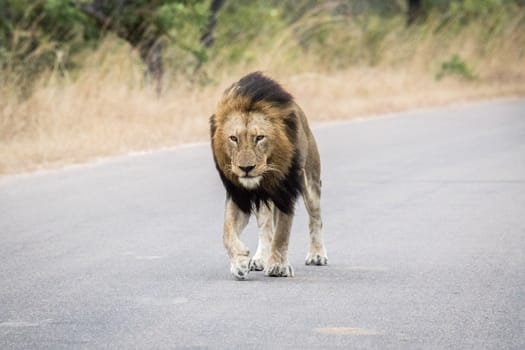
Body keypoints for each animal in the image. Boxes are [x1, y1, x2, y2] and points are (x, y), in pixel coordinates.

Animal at [210, 72, 328, 280]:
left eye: (259, 138)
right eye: (233, 138)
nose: (246, 168)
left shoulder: (285, 192)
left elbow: (282, 232)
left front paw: (278, 266)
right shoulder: (239, 195)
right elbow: (227, 232)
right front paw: (240, 262)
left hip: (311, 183)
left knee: (315, 218)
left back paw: (317, 255)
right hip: (263, 200)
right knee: (265, 227)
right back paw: (259, 259)